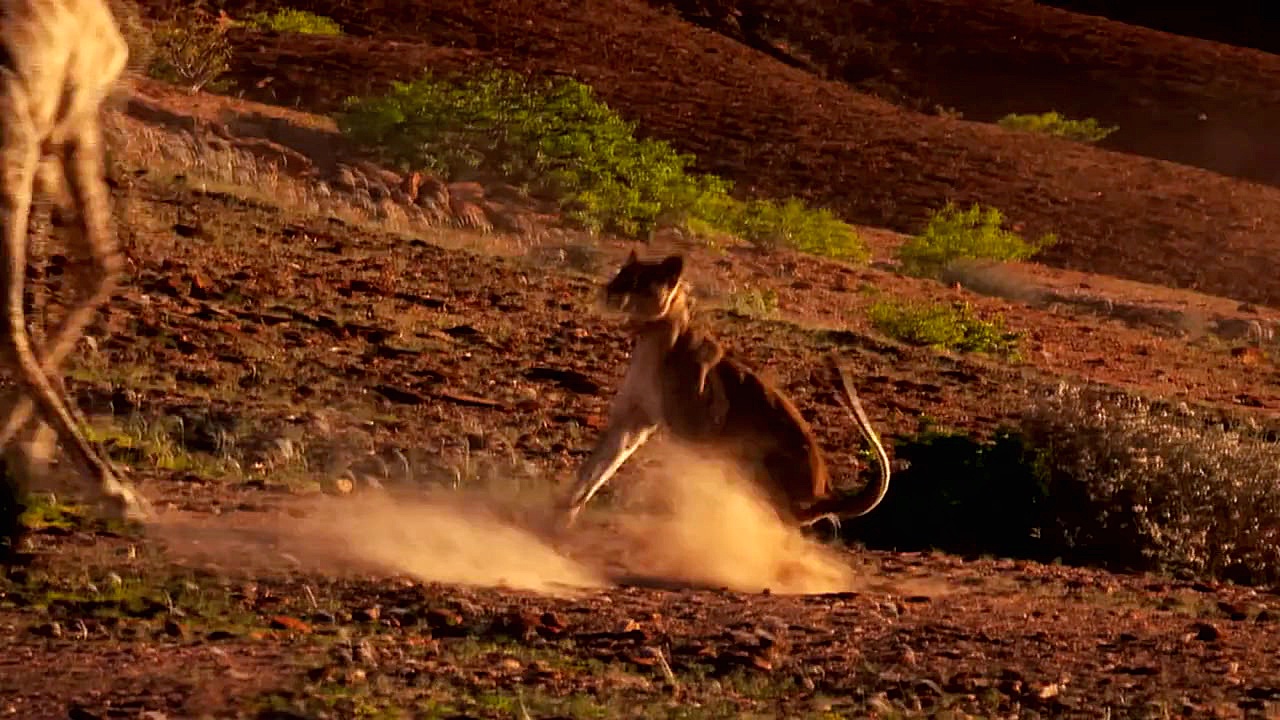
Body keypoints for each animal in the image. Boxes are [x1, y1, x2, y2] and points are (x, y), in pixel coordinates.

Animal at [559, 251, 891, 532]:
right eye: (621, 274)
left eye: (639, 281)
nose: (610, 291)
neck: (652, 337)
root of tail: (824, 495)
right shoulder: (632, 421)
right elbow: (595, 470)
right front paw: (562, 517)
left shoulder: (700, 430)